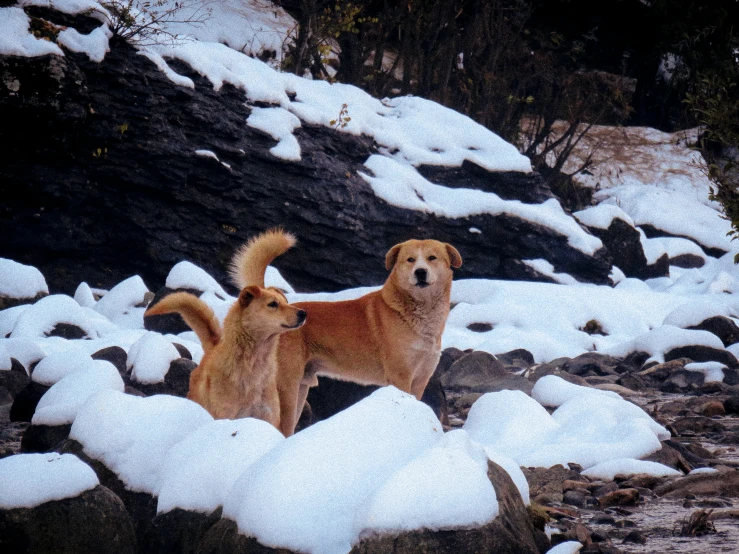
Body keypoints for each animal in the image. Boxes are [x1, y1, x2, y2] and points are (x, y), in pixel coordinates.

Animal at [145, 229, 306, 426]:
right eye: (273, 304)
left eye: (286, 301)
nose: (303, 314)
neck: (253, 366)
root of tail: (212, 348)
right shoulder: (225, 415)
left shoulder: (267, 418)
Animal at [234, 237, 462, 436]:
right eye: (410, 259)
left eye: (432, 258)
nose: (420, 272)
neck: (417, 316)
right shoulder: (400, 377)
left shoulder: (421, 379)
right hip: (286, 388)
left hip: (301, 388)